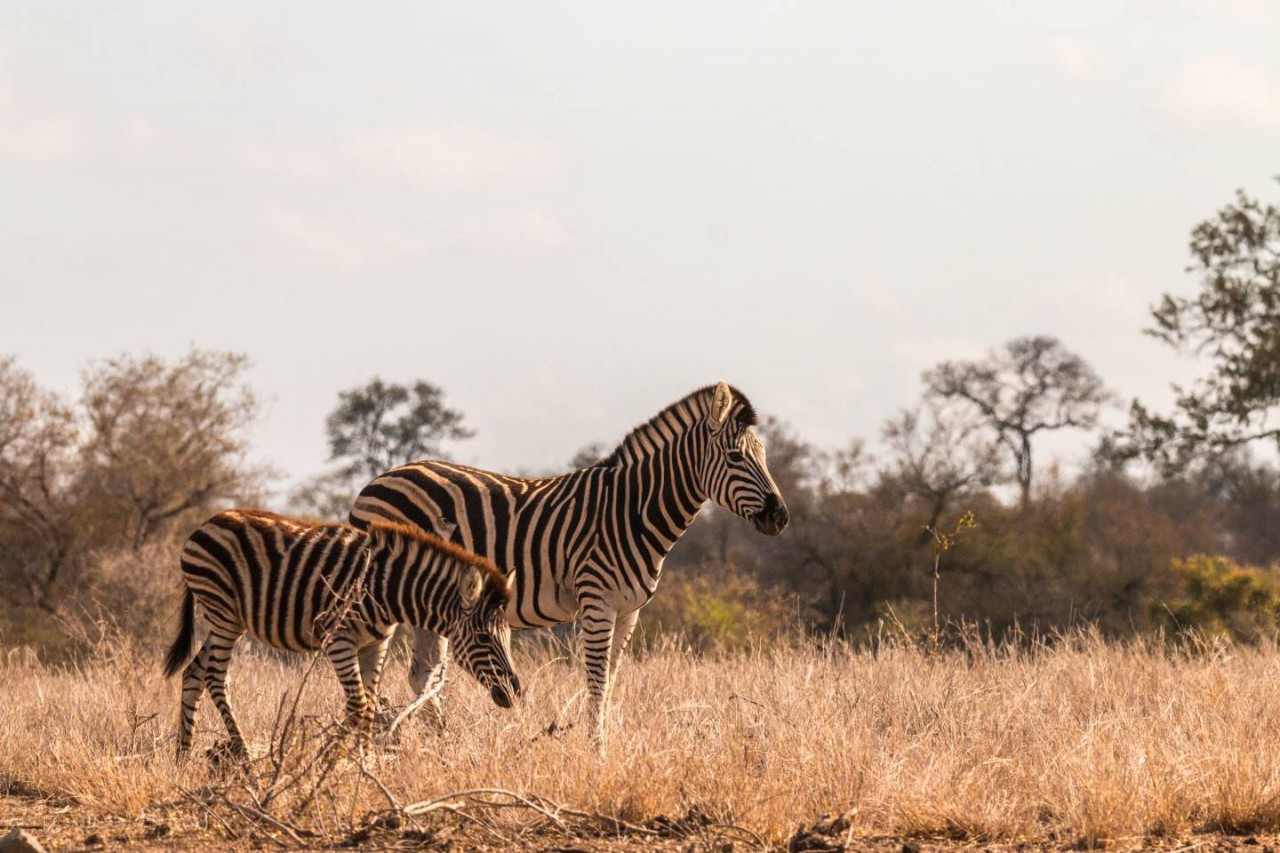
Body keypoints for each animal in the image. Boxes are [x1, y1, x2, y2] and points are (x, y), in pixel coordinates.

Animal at [162, 504, 522, 758]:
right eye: (483, 638)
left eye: (507, 637)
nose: (514, 692)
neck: (385, 589)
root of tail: (207, 523)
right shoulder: (338, 639)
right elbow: (359, 705)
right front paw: (329, 758)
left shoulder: (376, 643)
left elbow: (370, 704)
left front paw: (366, 763)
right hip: (222, 612)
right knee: (215, 678)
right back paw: (245, 756)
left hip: (228, 620)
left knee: (194, 672)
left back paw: (183, 757)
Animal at [350, 381, 788, 742]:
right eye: (735, 456)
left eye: (763, 455)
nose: (780, 517)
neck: (632, 510)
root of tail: (374, 482)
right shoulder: (596, 603)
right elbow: (595, 682)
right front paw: (597, 753)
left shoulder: (629, 611)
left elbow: (609, 683)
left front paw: (604, 746)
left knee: (421, 674)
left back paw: (442, 744)